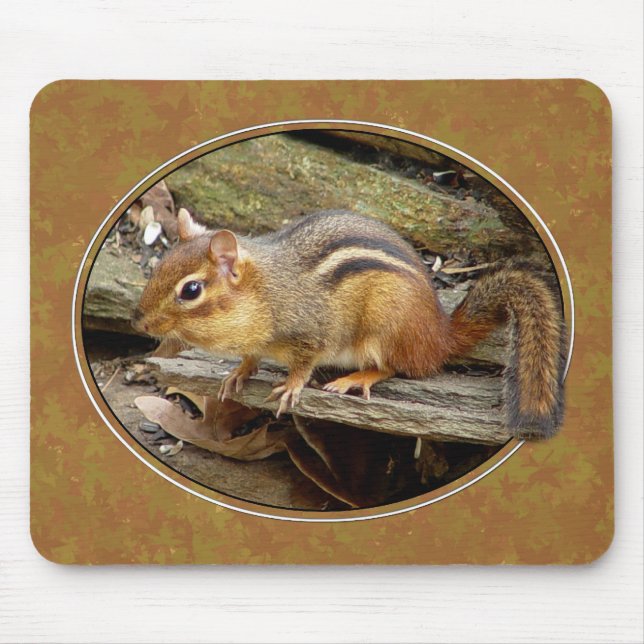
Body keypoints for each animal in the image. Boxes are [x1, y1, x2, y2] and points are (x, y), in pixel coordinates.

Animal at [133, 208, 567, 440]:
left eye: (191, 290)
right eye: (160, 265)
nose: (140, 324)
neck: (267, 291)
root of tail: (439, 335)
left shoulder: (313, 332)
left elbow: (304, 364)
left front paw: (291, 386)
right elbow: (250, 358)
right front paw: (237, 373)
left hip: (384, 327)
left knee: (394, 367)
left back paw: (355, 379)